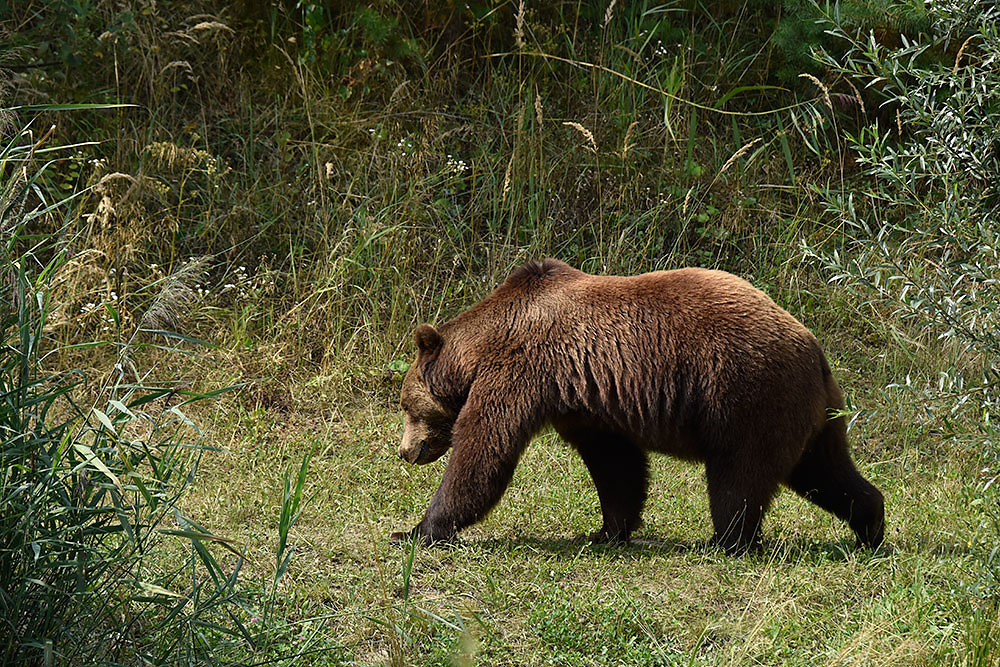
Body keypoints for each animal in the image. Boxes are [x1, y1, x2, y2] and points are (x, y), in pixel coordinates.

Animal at [390, 258, 884, 556]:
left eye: (406, 405)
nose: (405, 451)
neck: (480, 347)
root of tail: (814, 349)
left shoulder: (522, 372)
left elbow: (483, 452)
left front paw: (416, 530)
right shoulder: (584, 399)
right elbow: (616, 464)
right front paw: (606, 530)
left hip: (746, 395)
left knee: (738, 478)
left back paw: (722, 542)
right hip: (809, 414)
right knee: (824, 470)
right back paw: (871, 527)